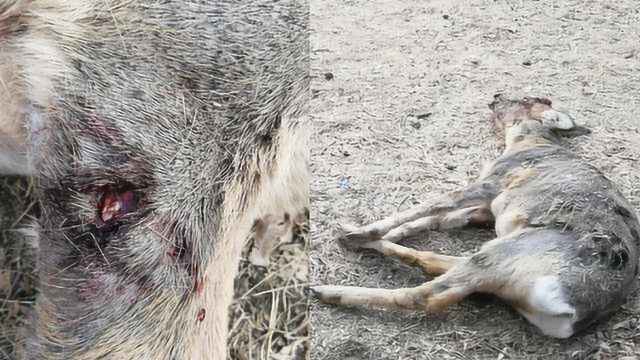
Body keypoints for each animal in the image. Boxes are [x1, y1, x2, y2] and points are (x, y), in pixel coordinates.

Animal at [312, 95, 636, 338]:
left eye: (528, 100)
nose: (496, 96)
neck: (527, 143)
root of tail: (575, 311)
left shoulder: (492, 184)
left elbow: (434, 204)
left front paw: (366, 231)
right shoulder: (490, 207)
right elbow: (440, 219)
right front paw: (380, 232)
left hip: (507, 253)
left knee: (425, 294)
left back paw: (329, 286)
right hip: (502, 263)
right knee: (436, 262)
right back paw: (358, 240)